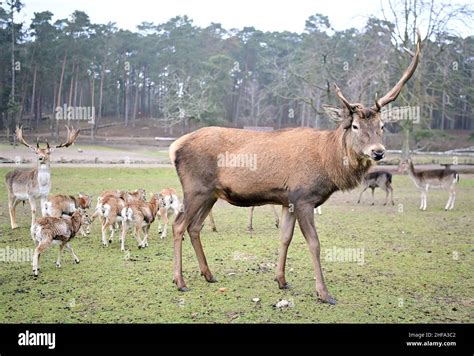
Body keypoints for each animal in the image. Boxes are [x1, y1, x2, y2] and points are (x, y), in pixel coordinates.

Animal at [168, 30, 420, 304]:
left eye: (382, 126)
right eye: (354, 126)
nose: (378, 151)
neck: (328, 163)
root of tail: (174, 146)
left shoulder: (287, 200)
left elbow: (285, 238)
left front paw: (281, 280)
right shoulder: (303, 197)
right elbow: (315, 243)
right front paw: (324, 293)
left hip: (211, 193)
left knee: (195, 227)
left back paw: (209, 274)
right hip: (195, 188)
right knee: (178, 224)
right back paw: (180, 281)